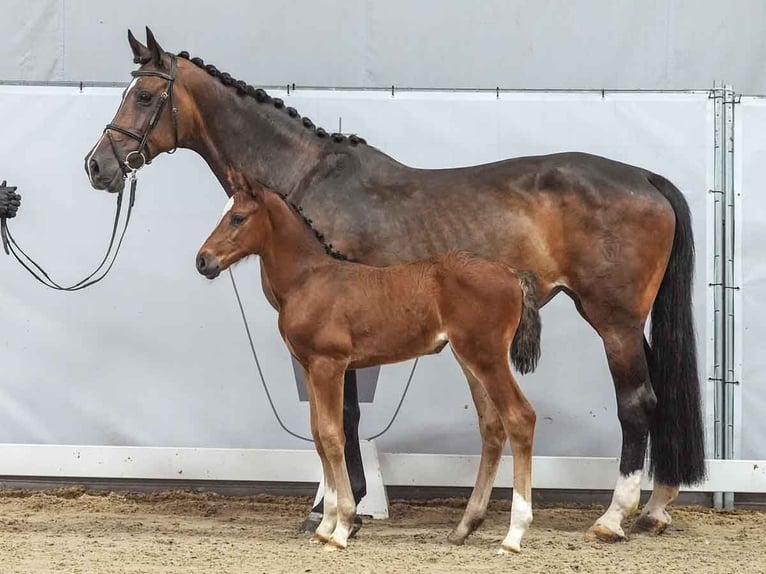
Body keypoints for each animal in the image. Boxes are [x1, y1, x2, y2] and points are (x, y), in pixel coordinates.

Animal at [200, 188, 544, 552]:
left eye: (237, 218)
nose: (202, 260)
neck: (308, 280)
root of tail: (512, 274)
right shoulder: (309, 368)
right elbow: (318, 436)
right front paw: (323, 526)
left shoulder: (330, 365)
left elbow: (333, 436)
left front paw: (341, 529)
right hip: (469, 361)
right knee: (492, 428)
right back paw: (464, 527)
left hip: (487, 357)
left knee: (520, 417)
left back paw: (513, 535)